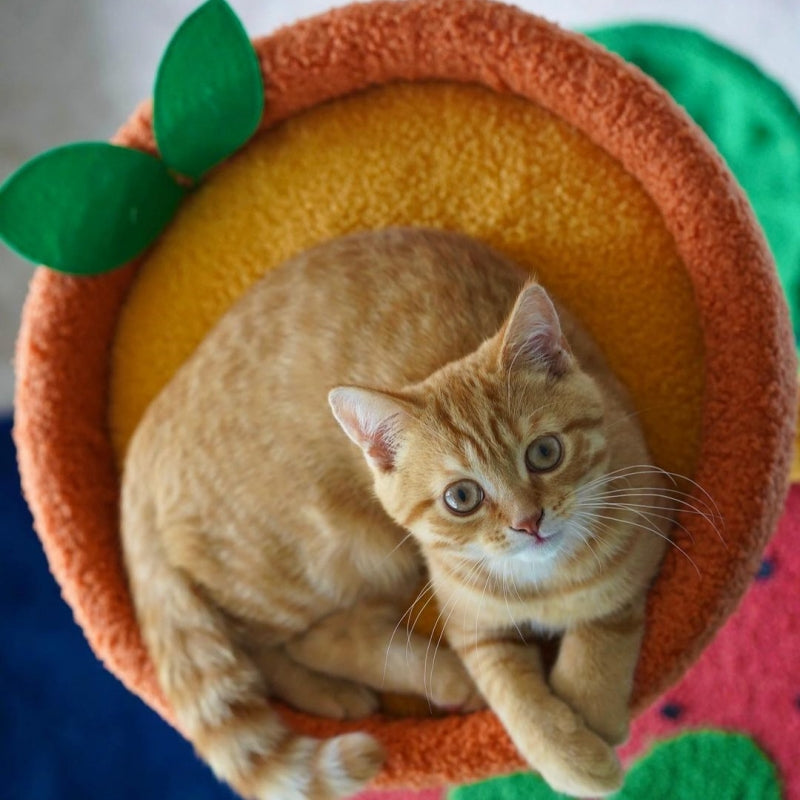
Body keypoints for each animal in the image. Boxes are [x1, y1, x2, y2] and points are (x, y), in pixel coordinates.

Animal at [123, 227, 676, 800]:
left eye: (545, 453)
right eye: (462, 498)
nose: (529, 522)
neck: (539, 581)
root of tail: (150, 430)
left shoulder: (644, 528)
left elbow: (601, 630)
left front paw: (591, 708)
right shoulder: (474, 626)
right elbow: (517, 699)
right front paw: (575, 758)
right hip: (331, 558)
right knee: (283, 643)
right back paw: (395, 687)